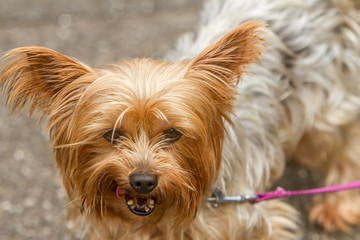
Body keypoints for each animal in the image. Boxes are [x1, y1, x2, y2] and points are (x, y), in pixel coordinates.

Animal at [0, 0, 360, 239]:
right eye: (111, 134)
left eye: (173, 133)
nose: (143, 181)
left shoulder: (250, 220)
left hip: (328, 103)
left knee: (344, 144)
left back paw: (337, 206)